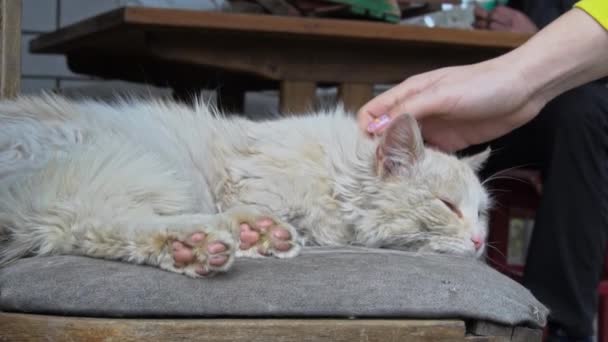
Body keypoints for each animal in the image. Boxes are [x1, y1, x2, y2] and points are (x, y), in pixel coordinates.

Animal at [0, 94, 492, 278]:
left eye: (482, 213)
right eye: (448, 205)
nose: (480, 240)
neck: (335, 172)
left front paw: (264, 235)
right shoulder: (246, 181)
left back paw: (248, 235)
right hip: (140, 168)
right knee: (88, 224)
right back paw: (201, 243)